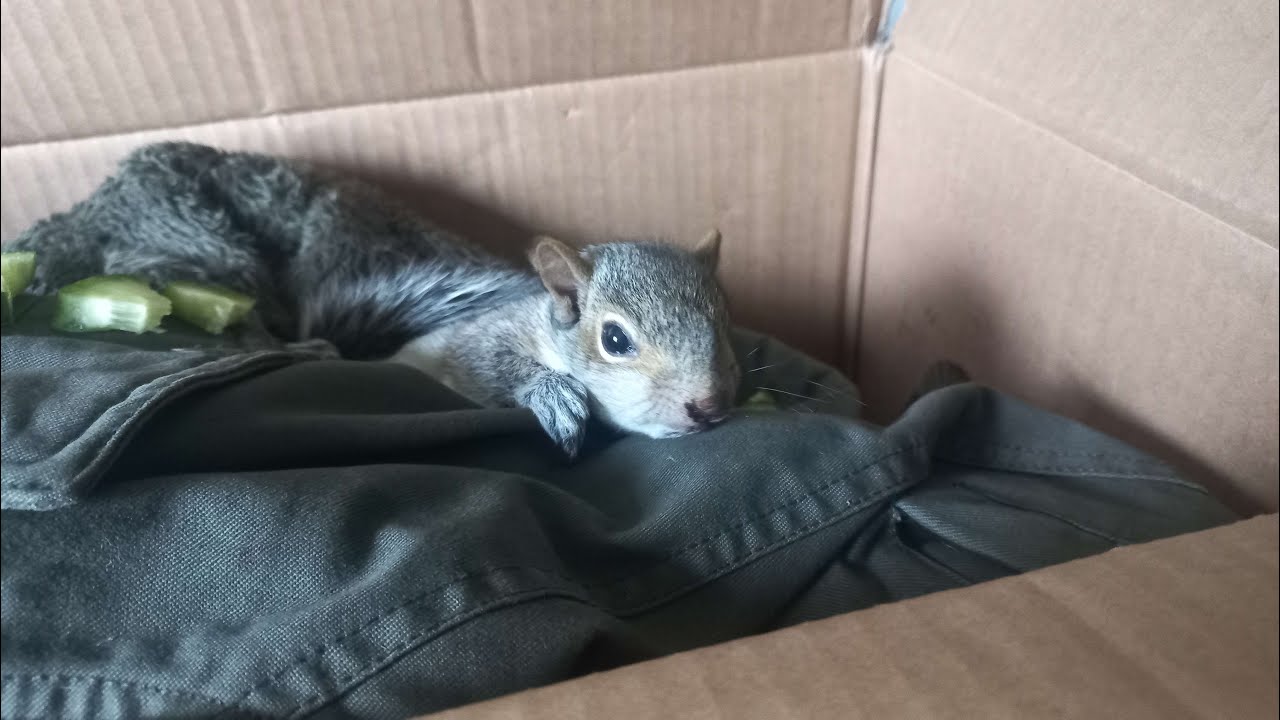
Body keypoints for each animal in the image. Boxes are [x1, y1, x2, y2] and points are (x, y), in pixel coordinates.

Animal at [9, 142, 740, 457]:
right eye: (614, 339)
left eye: (728, 324)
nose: (708, 407)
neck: (541, 322)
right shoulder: (477, 342)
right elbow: (494, 369)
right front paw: (552, 396)